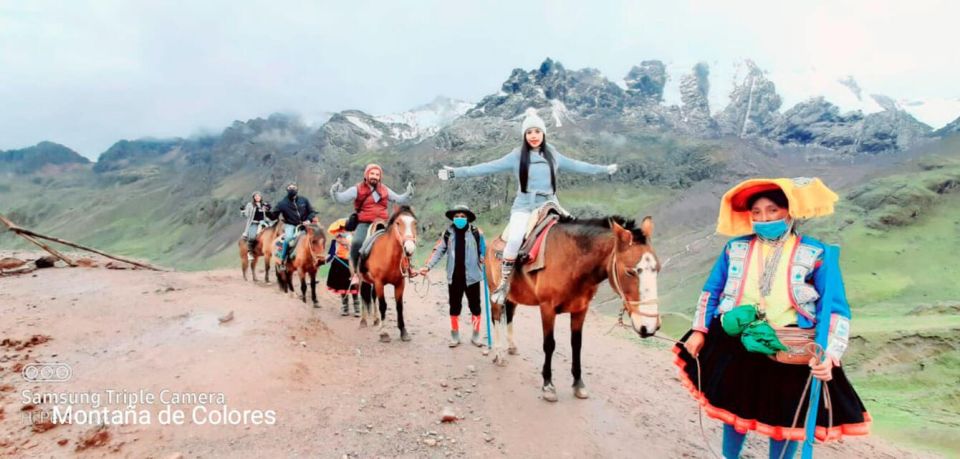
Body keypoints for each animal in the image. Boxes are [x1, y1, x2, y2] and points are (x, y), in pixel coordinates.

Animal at [358, 207, 418, 344]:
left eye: (414, 223)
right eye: (398, 223)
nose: (409, 248)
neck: (389, 257)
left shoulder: (400, 283)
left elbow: (399, 307)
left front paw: (403, 332)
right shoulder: (379, 283)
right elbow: (383, 305)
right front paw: (384, 334)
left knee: (372, 297)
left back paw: (376, 320)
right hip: (361, 279)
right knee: (363, 296)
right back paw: (363, 320)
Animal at [488, 216, 660, 402]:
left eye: (657, 269)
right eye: (630, 271)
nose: (649, 326)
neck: (572, 262)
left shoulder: (580, 309)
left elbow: (576, 344)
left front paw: (578, 383)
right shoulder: (547, 308)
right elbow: (549, 344)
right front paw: (548, 385)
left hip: (514, 295)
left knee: (510, 313)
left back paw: (512, 346)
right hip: (493, 291)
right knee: (496, 317)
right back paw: (498, 354)